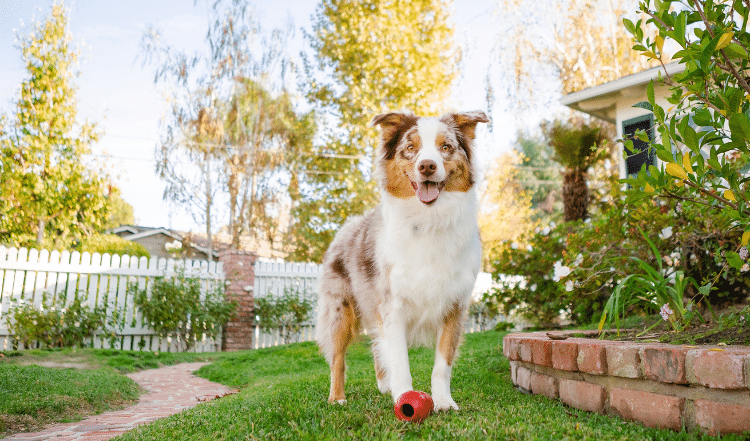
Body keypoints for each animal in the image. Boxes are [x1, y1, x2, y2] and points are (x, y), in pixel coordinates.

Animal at [316, 109, 488, 410]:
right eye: (410, 148)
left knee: (376, 347)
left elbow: (442, 364)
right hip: (339, 310)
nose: (427, 166)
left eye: (446, 147)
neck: (429, 220)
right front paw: (405, 398)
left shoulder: (455, 305)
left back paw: (384, 386)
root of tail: (349, 225)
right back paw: (337, 398)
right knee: (338, 358)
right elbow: (400, 361)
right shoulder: (393, 306)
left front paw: (443, 402)